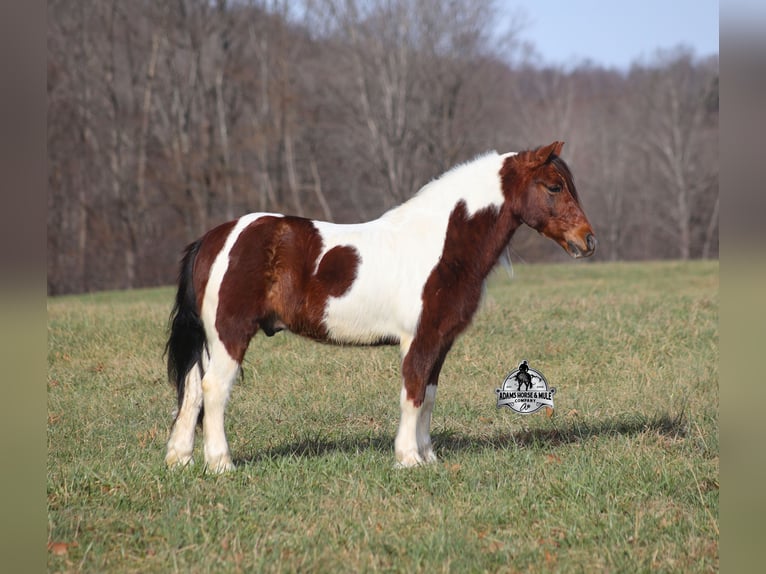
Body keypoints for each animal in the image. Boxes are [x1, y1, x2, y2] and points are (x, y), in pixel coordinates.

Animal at [164, 141, 596, 472]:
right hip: (230, 334)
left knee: (193, 389)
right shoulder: (419, 340)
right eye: (554, 186)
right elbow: (413, 392)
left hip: (211, 341)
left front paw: (428, 457)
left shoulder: (440, 341)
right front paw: (408, 459)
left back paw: (180, 459)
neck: (440, 245)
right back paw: (221, 464)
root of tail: (215, 238)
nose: (588, 240)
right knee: (214, 389)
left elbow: (429, 395)